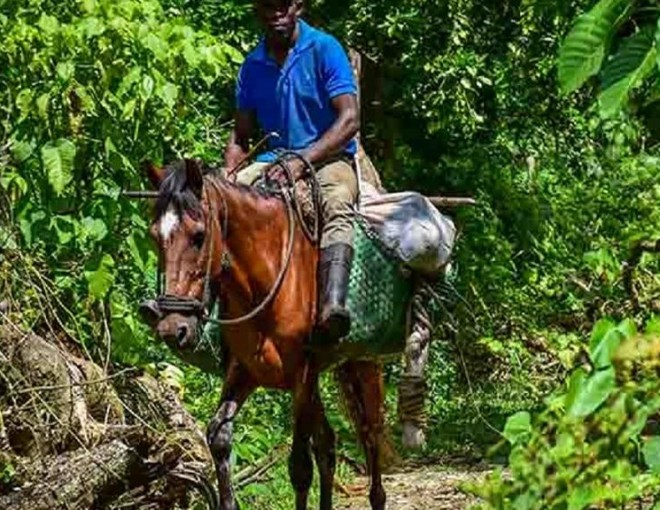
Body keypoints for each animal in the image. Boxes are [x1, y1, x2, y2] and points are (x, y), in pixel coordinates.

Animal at [142, 158, 394, 510]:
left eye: (198, 236)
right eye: (155, 237)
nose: (172, 328)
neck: (267, 278)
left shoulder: (303, 374)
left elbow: (299, 467)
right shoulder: (246, 370)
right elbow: (219, 438)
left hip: (363, 367)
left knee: (370, 436)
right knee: (327, 443)